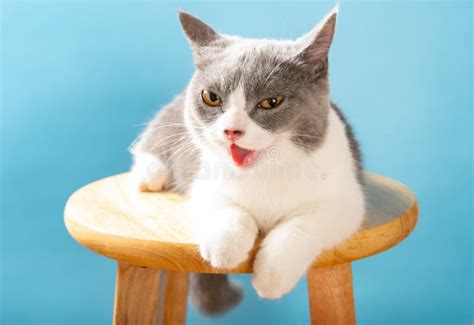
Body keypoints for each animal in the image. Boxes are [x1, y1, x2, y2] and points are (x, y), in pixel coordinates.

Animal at [128, 5, 364, 314]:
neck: (265, 172)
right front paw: (224, 247)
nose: (232, 130)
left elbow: (301, 226)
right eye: (212, 97)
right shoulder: (205, 182)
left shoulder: (346, 199)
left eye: (271, 102)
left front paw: (273, 276)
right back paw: (149, 173)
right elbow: (228, 208)